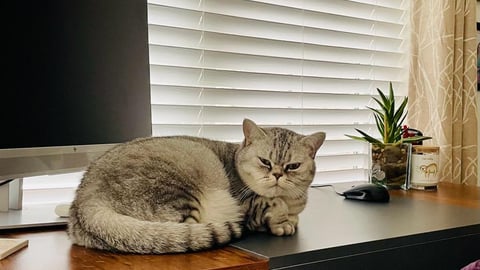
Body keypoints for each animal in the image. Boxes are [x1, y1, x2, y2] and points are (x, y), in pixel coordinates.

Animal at [67, 118, 326, 253]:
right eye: (265, 162)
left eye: (293, 166)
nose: (278, 175)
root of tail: (84, 199)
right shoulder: (246, 202)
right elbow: (271, 204)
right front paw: (281, 220)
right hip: (182, 188)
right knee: (184, 232)